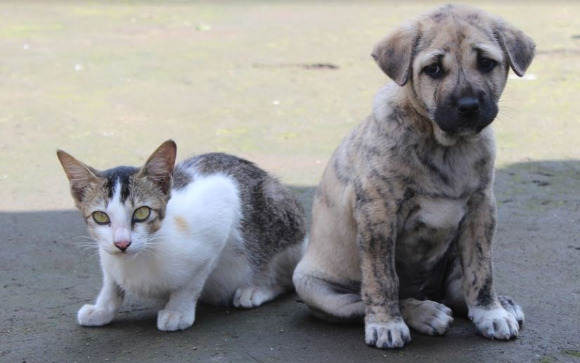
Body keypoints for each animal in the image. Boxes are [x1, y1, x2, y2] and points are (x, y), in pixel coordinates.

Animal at [56, 140, 306, 332]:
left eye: (142, 212)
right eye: (100, 217)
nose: (122, 243)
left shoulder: (221, 210)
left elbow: (192, 282)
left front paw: (178, 311)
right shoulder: (106, 253)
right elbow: (111, 282)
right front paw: (102, 309)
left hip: (279, 213)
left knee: (286, 277)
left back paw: (257, 288)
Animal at [292, 3, 536, 350]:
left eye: (486, 63)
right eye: (432, 69)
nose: (468, 106)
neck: (445, 146)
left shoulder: (481, 209)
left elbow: (481, 270)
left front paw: (490, 312)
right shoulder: (378, 214)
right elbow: (382, 279)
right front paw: (386, 324)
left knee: (457, 288)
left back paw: (500, 304)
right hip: (316, 287)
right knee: (368, 300)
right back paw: (424, 313)